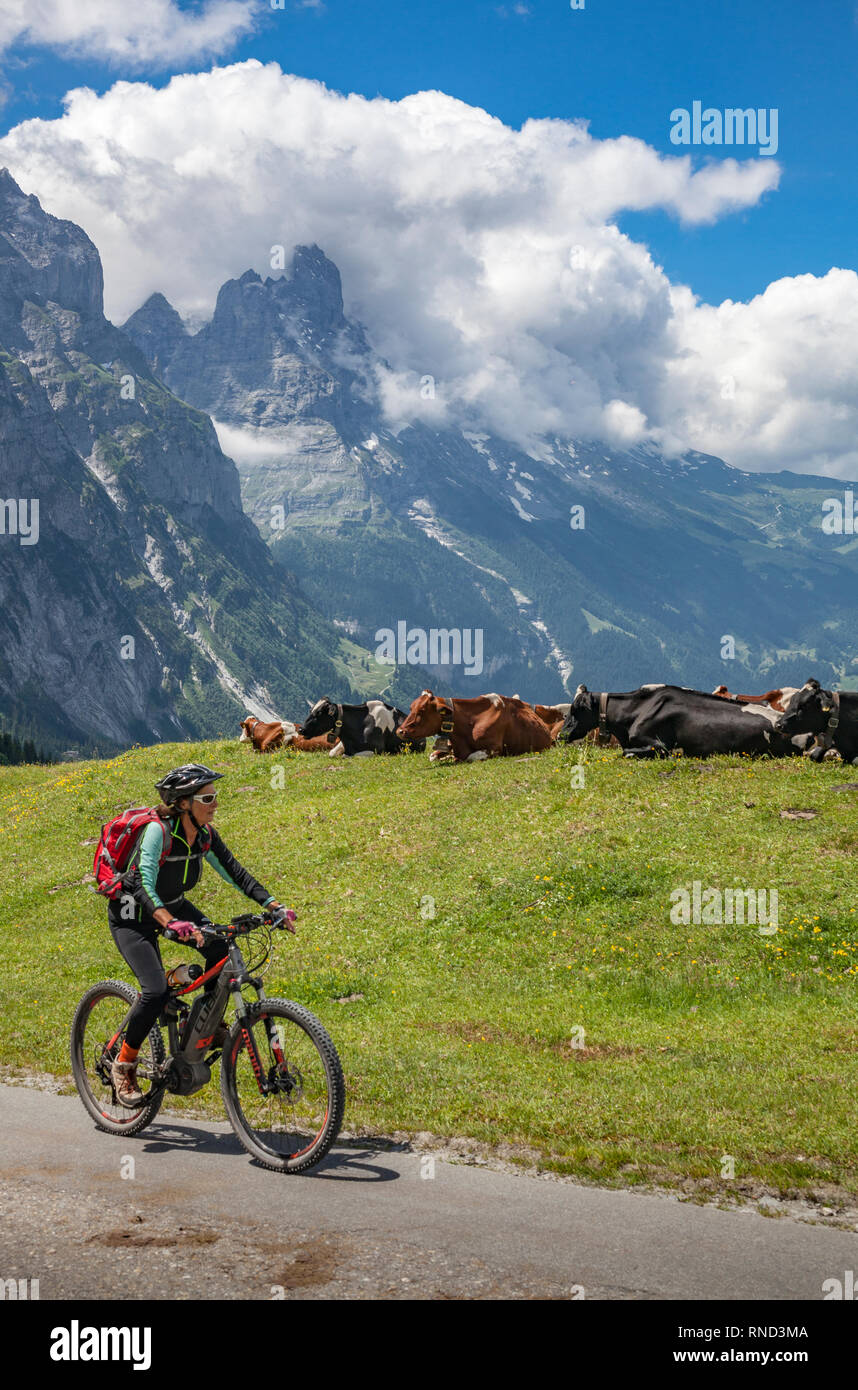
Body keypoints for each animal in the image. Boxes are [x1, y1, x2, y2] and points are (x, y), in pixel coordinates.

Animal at [297, 695, 425, 761]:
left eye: (319, 713)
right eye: (310, 711)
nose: (301, 729)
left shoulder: (377, 750)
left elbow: (347, 756)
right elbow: (332, 753)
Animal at [392, 692, 553, 767]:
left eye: (422, 710)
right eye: (411, 708)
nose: (400, 731)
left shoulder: (495, 748)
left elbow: (469, 757)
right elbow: (432, 756)